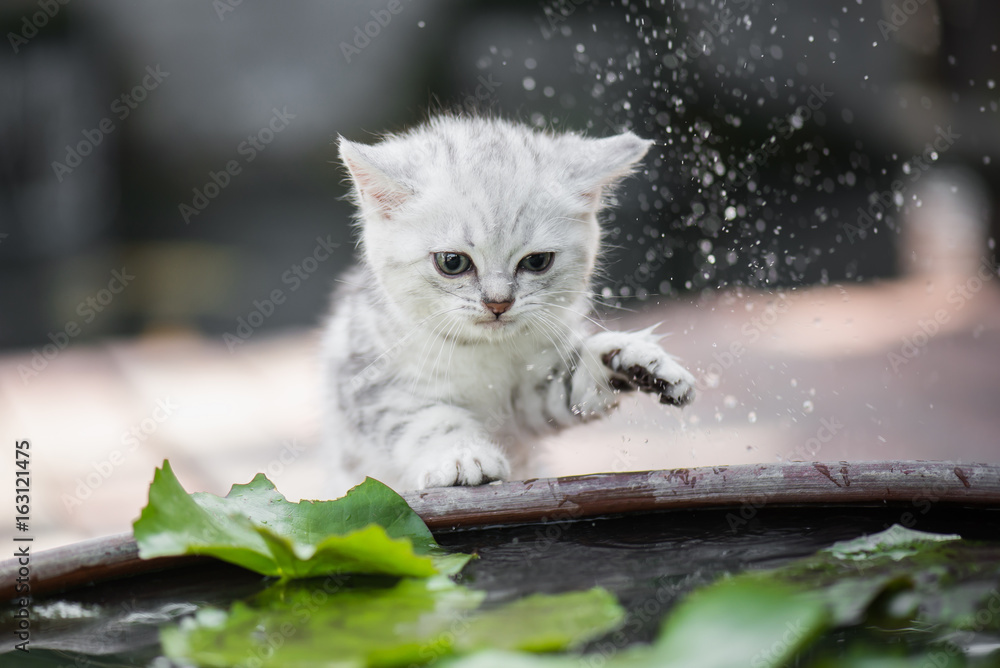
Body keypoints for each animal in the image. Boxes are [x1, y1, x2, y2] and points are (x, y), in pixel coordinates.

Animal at [322, 115, 696, 490]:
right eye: (452, 262)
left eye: (537, 261)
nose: (498, 303)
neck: (481, 351)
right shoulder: (371, 381)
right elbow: (424, 420)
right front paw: (462, 456)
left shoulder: (529, 399)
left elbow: (574, 384)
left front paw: (633, 360)